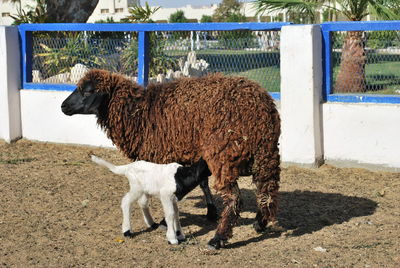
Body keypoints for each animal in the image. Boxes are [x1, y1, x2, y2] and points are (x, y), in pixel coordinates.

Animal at [61, 69, 280, 249]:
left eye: (88, 91)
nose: (63, 106)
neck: (138, 111)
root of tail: (260, 107)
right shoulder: (190, 155)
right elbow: (202, 182)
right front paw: (209, 212)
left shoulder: (163, 155)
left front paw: (164, 224)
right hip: (265, 154)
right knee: (267, 189)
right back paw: (260, 222)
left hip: (223, 154)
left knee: (235, 199)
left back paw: (218, 239)